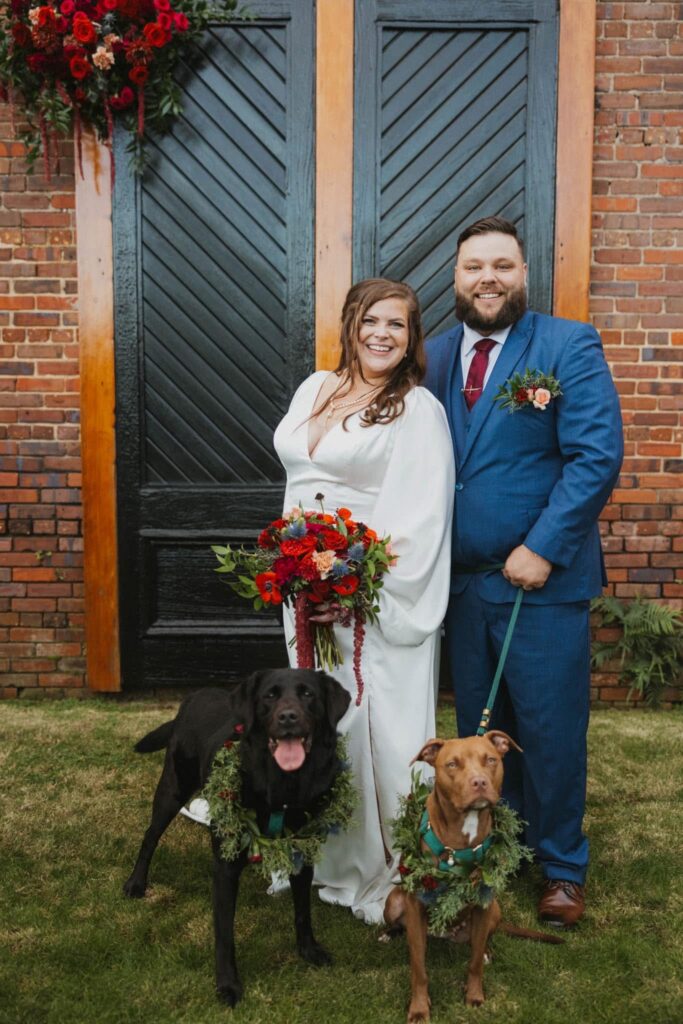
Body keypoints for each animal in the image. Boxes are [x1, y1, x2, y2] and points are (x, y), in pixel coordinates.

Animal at [121, 663, 352, 1007]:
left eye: (308, 694)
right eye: (270, 696)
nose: (288, 717)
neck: (283, 786)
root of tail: (192, 697)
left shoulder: (302, 851)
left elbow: (303, 912)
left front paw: (308, 950)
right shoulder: (226, 870)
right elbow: (224, 932)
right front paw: (228, 985)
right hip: (172, 789)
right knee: (150, 837)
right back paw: (136, 883)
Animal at [385, 733, 561, 1019]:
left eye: (490, 760)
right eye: (452, 764)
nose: (479, 782)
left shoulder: (483, 904)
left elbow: (475, 961)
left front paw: (474, 995)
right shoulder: (415, 906)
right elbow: (419, 968)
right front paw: (419, 1008)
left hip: (495, 910)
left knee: (485, 938)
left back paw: (488, 952)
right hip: (393, 903)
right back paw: (389, 934)